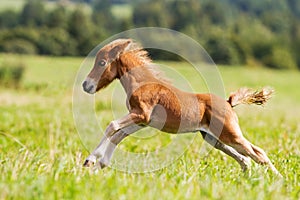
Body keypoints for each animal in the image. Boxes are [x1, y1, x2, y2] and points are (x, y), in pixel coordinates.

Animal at [81, 38, 282, 176]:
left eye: (102, 63)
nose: (86, 85)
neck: (143, 83)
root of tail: (228, 102)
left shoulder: (141, 115)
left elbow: (112, 126)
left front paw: (90, 160)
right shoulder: (143, 121)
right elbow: (119, 135)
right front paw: (99, 165)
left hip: (230, 134)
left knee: (258, 153)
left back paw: (279, 180)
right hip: (213, 138)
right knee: (245, 159)